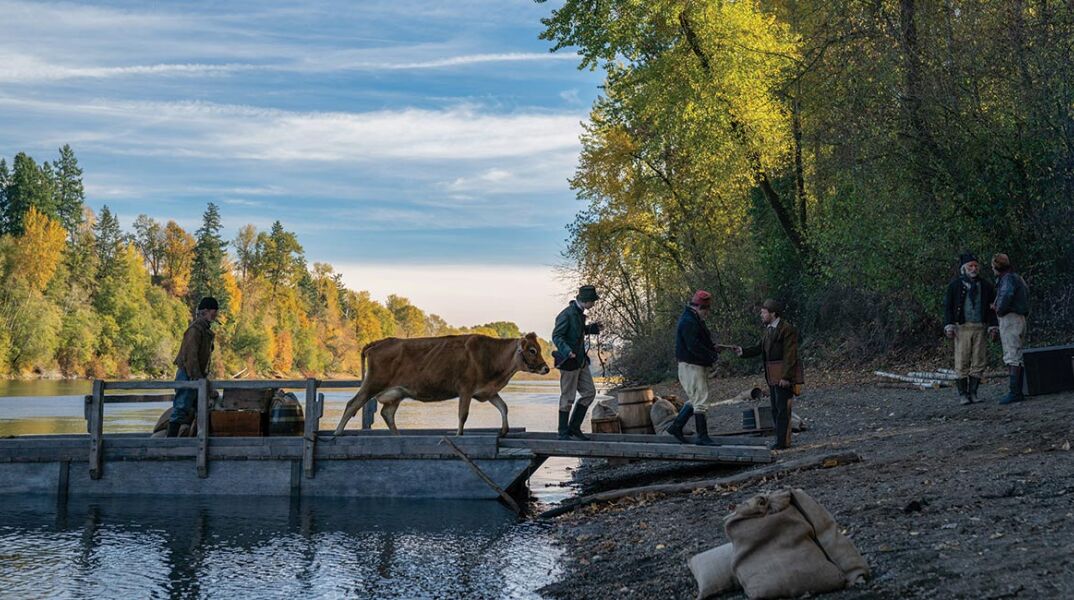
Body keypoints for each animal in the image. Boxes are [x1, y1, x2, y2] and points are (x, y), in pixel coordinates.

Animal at [333, 332, 550, 436]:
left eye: (538, 349)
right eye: (532, 350)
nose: (546, 368)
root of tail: (380, 342)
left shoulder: (487, 391)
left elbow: (504, 407)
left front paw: (504, 430)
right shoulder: (466, 388)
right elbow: (463, 415)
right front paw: (458, 434)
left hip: (396, 393)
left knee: (387, 414)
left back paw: (398, 436)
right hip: (373, 383)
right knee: (352, 404)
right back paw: (337, 433)